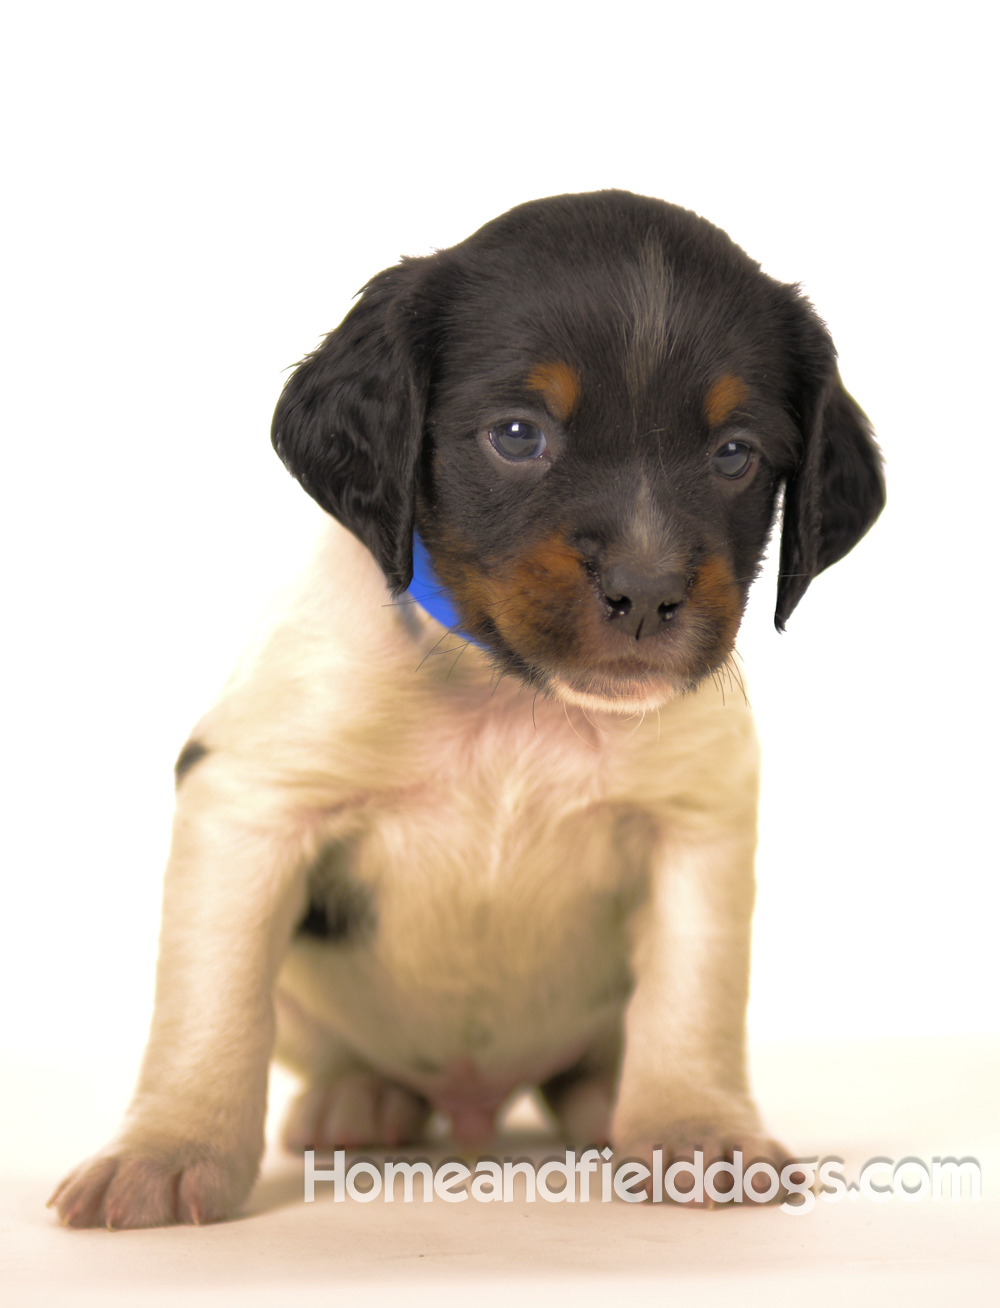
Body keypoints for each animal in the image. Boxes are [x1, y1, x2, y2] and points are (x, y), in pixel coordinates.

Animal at [52, 190, 883, 1224]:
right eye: (518, 435)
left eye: (735, 455)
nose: (647, 593)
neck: (516, 700)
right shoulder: (250, 804)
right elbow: (212, 1005)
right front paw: (168, 1150)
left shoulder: (695, 828)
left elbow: (692, 994)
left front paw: (697, 1129)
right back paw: (359, 1098)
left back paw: (603, 1099)